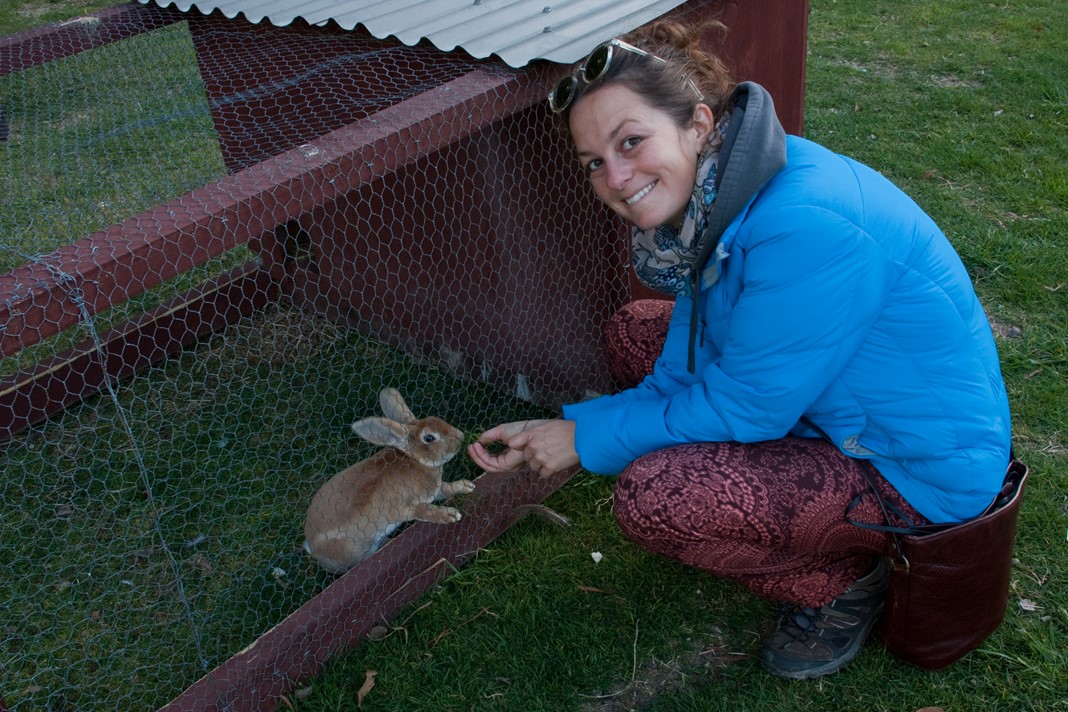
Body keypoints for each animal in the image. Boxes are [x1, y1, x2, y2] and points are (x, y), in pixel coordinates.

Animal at [303, 386, 474, 576]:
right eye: (429, 438)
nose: (461, 437)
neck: (414, 460)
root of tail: (313, 549)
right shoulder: (403, 509)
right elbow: (423, 511)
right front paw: (449, 515)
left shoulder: (435, 491)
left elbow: (447, 488)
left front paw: (466, 486)